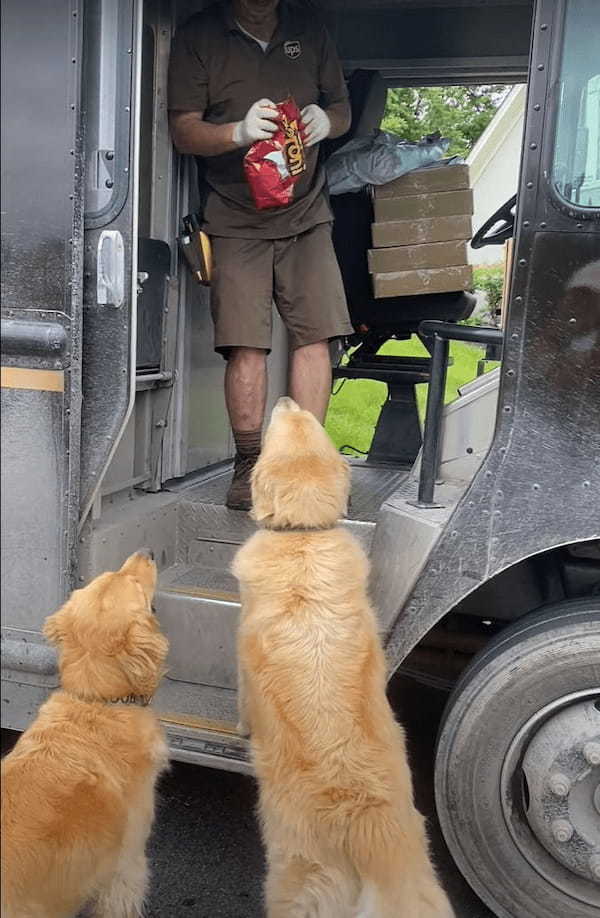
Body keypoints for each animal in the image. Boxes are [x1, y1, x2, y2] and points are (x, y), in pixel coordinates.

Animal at [232, 400, 452, 918]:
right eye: (309, 423)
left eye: (283, 427)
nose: (286, 400)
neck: (304, 536)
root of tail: (369, 830)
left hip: (294, 882)